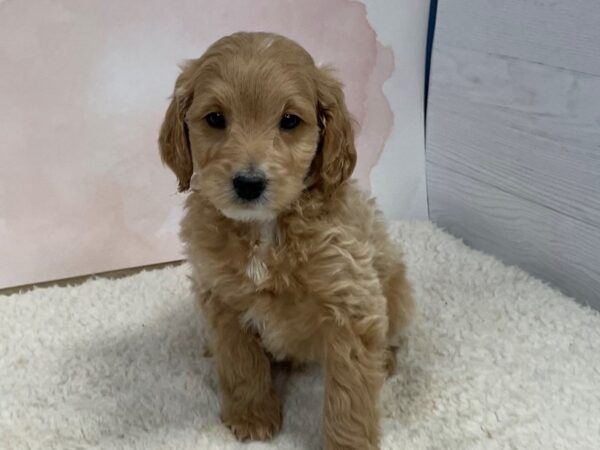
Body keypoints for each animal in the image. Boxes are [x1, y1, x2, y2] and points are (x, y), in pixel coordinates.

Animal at [157, 32, 414, 450]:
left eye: (290, 121)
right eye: (215, 119)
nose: (249, 183)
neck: (265, 229)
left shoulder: (352, 303)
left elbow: (350, 395)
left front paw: (349, 443)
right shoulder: (223, 298)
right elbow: (241, 364)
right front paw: (252, 417)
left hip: (398, 290)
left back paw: (386, 359)